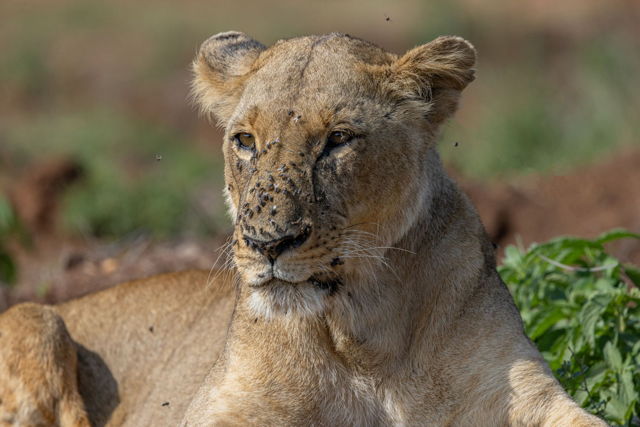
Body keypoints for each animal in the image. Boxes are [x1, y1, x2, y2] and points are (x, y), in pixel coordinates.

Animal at [0, 32, 606, 426]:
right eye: (244, 141)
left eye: (338, 139)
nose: (268, 244)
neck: (367, 332)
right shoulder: (223, 407)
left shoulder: (523, 394)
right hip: (37, 320)